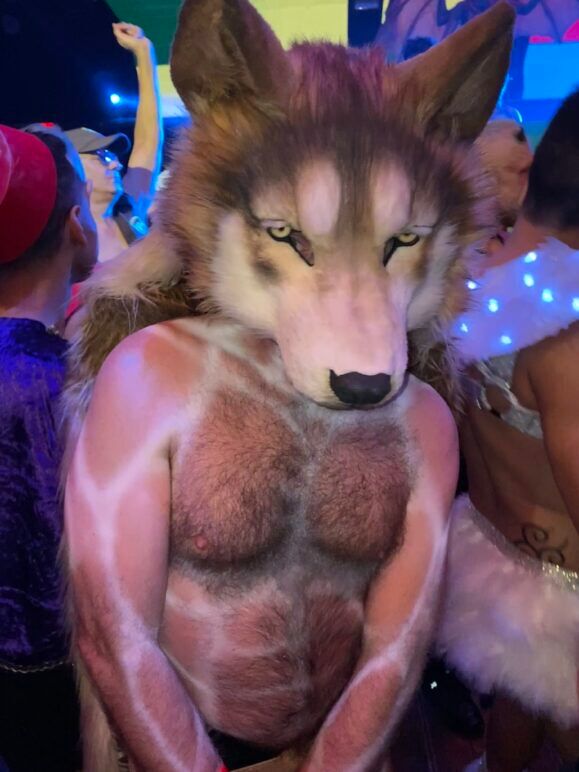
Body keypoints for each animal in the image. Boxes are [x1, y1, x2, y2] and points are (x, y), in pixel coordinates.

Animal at [63, 2, 513, 770]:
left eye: (404, 240)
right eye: (284, 235)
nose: (364, 385)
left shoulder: (434, 436)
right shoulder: (124, 398)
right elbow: (125, 637)